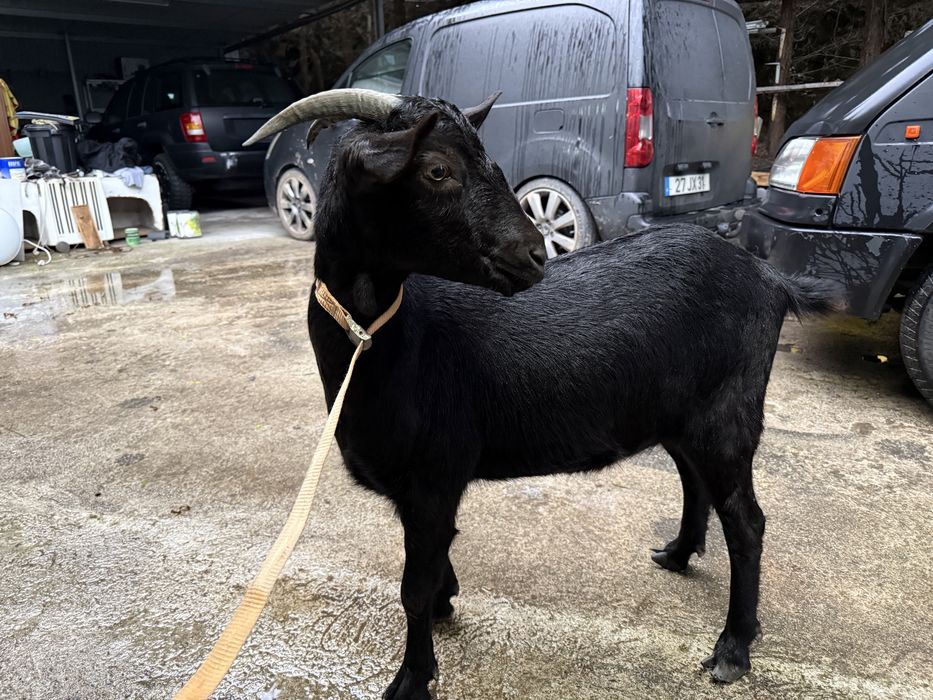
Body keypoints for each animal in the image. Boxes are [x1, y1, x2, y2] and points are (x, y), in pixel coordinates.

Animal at [245, 89, 839, 699]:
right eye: (437, 170)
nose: (534, 255)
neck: (386, 341)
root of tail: (770, 278)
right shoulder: (422, 490)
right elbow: (432, 563)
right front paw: (445, 602)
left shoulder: (433, 474)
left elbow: (412, 586)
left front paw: (412, 678)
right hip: (678, 413)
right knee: (694, 479)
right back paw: (677, 554)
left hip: (729, 412)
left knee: (746, 523)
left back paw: (733, 648)